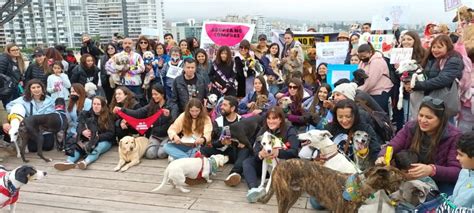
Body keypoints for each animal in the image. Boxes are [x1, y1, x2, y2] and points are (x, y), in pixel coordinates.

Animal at [260, 160, 404, 213]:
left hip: (293, 196)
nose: (402, 196)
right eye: (398, 181)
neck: (360, 184)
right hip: (284, 197)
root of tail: (279, 165)